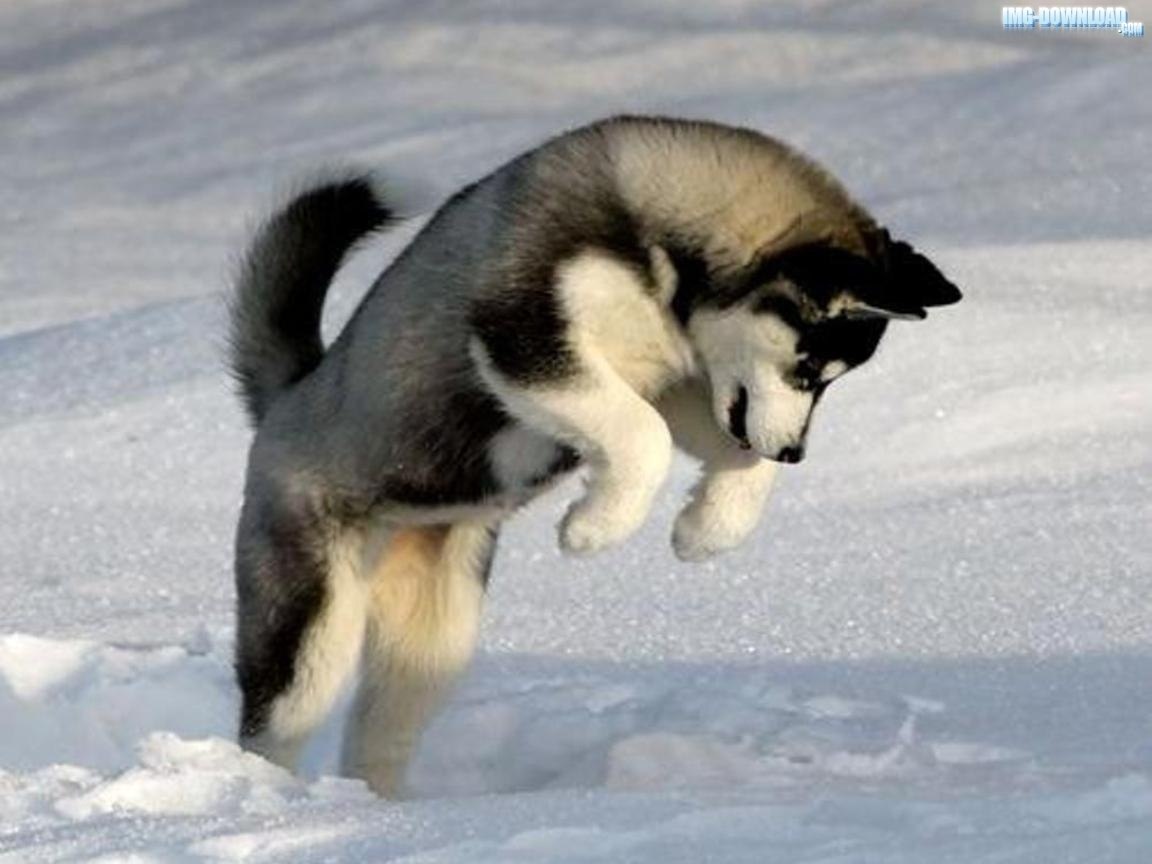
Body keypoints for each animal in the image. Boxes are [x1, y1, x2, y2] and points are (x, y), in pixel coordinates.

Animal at [227, 115, 961, 796]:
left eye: (834, 379)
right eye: (811, 370)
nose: (793, 454)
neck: (656, 243)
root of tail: (288, 398)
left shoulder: (677, 382)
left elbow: (711, 445)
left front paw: (705, 530)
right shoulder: (525, 337)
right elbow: (643, 436)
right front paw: (593, 528)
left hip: (435, 637)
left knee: (380, 735)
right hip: (311, 624)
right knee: (276, 725)